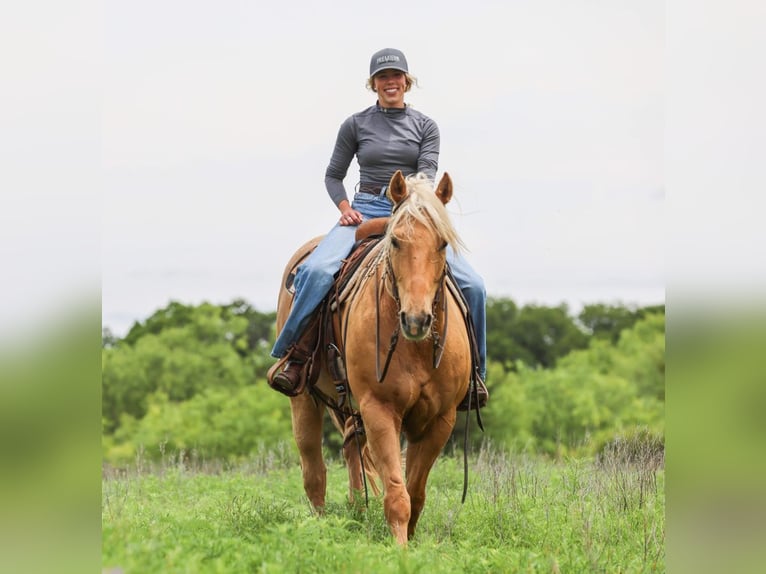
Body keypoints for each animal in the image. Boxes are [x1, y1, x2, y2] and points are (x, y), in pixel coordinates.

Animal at [273, 170, 472, 545]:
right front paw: (400, 549)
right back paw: (320, 529)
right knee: (314, 472)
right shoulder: (379, 409)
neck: (415, 347)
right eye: (395, 242)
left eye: (442, 244)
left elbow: (415, 491)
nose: (416, 319)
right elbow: (397, 494)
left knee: (352, 450)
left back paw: (357, 513)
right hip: (305, 400)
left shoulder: (440, 419)